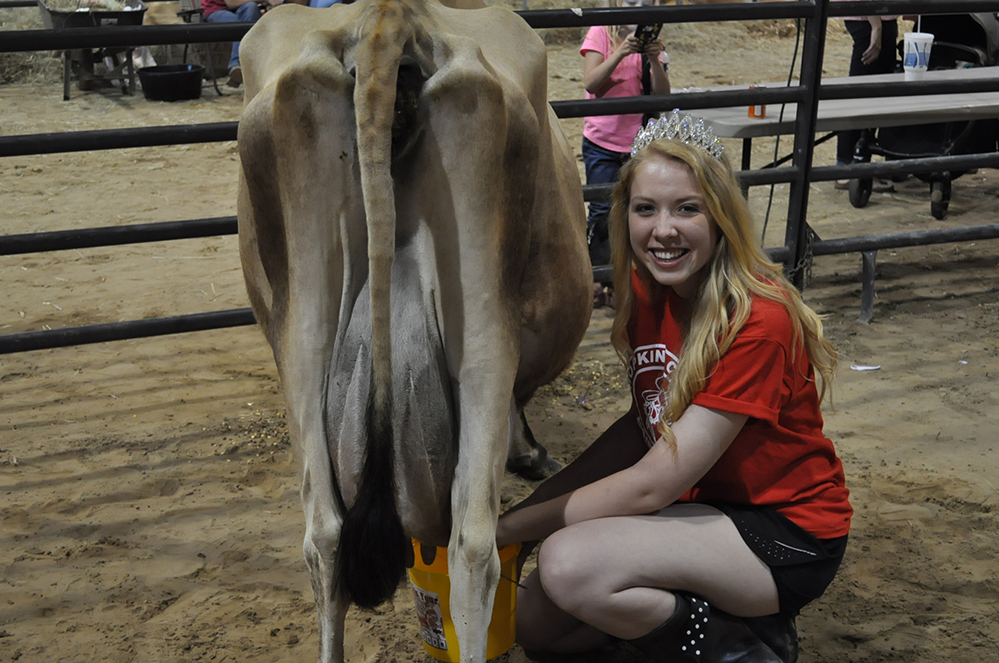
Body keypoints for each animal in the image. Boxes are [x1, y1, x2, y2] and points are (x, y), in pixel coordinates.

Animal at [233, 0, 592, 660]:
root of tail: (389, 21)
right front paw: (531, 452)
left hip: (298, 328)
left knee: (325, 537)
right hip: (484, 330)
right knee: (473, 546)